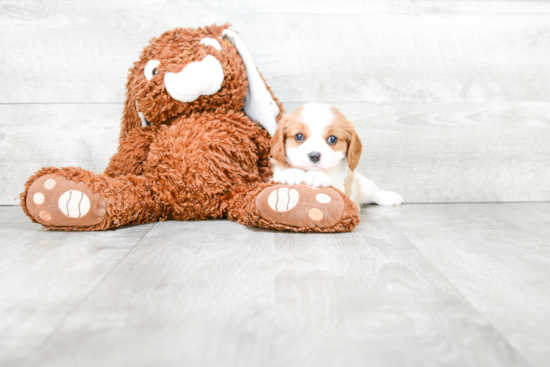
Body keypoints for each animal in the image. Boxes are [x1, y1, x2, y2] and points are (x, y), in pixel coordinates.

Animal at [272, 103, 406, 210]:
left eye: (332, 139)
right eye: (299, 136)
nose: (314, 155)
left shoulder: (341, 189)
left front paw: (317, 175)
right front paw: (291, 172)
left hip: (364, 185)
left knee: (375, 192)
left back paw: (392, 198)